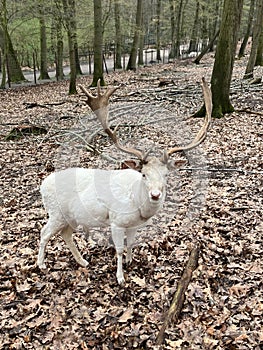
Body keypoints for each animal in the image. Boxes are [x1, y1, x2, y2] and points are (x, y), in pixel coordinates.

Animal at [38, 78, 212, 284]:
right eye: (143, 174)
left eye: (166, 175)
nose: (155, 194)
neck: (136, 204)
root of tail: (42, 185)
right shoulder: (116, 221)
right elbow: (119, 249)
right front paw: (120, 277)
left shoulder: (133, 225)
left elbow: (132, 243)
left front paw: (130, 261)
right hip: (56, 212)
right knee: (44, 232)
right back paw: (41, 265)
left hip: (70, 218)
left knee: (65, 235)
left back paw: (83, 262)